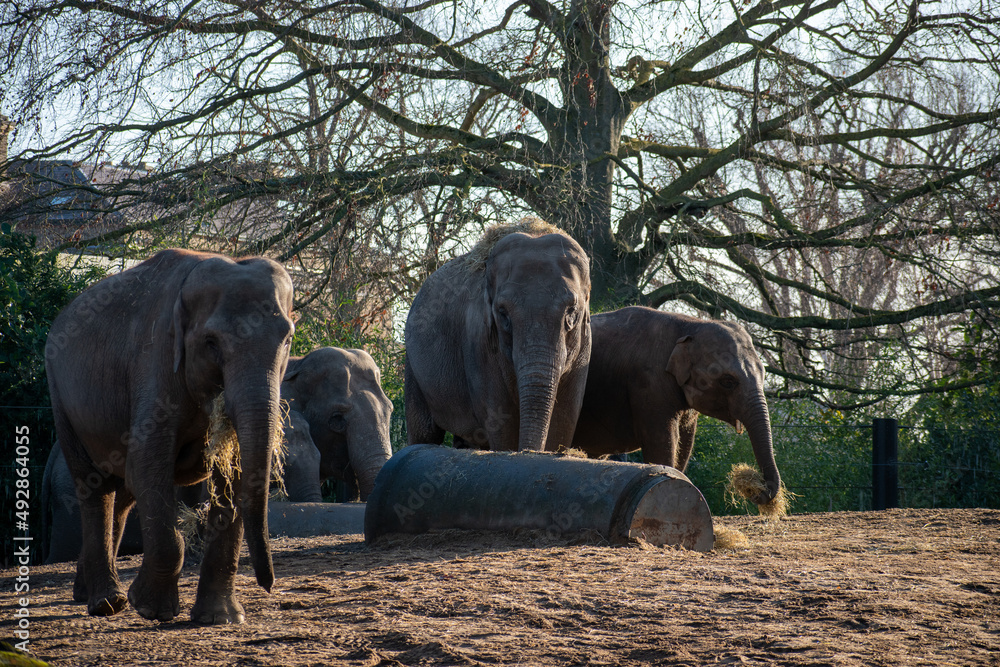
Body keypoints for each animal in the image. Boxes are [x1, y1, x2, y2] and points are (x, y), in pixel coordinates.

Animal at [45, 248, 294, 624]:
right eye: (211, 343)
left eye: (288, 338)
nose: (269, 585)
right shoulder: (156, 364)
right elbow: (149, 465)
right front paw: (151, 609)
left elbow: (232, 475)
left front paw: (220, 618)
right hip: (61, 399)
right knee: (94, 488)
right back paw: (106, 603)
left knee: (123, 493)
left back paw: (87, 594)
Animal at [405, 219, 591, 452]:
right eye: (503, 313)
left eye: (572, 312)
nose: (528, 452)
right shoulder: (479, 343)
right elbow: (502, 423)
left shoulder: (584, 350)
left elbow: (565, 419)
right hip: (413, 367)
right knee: (423, 432)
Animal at [569, 306, 781, 505]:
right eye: (728, 381)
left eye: (763, 375)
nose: (756, 491)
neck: (690, 325)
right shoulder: (648, 383)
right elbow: (662, 442)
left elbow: (685, 443)